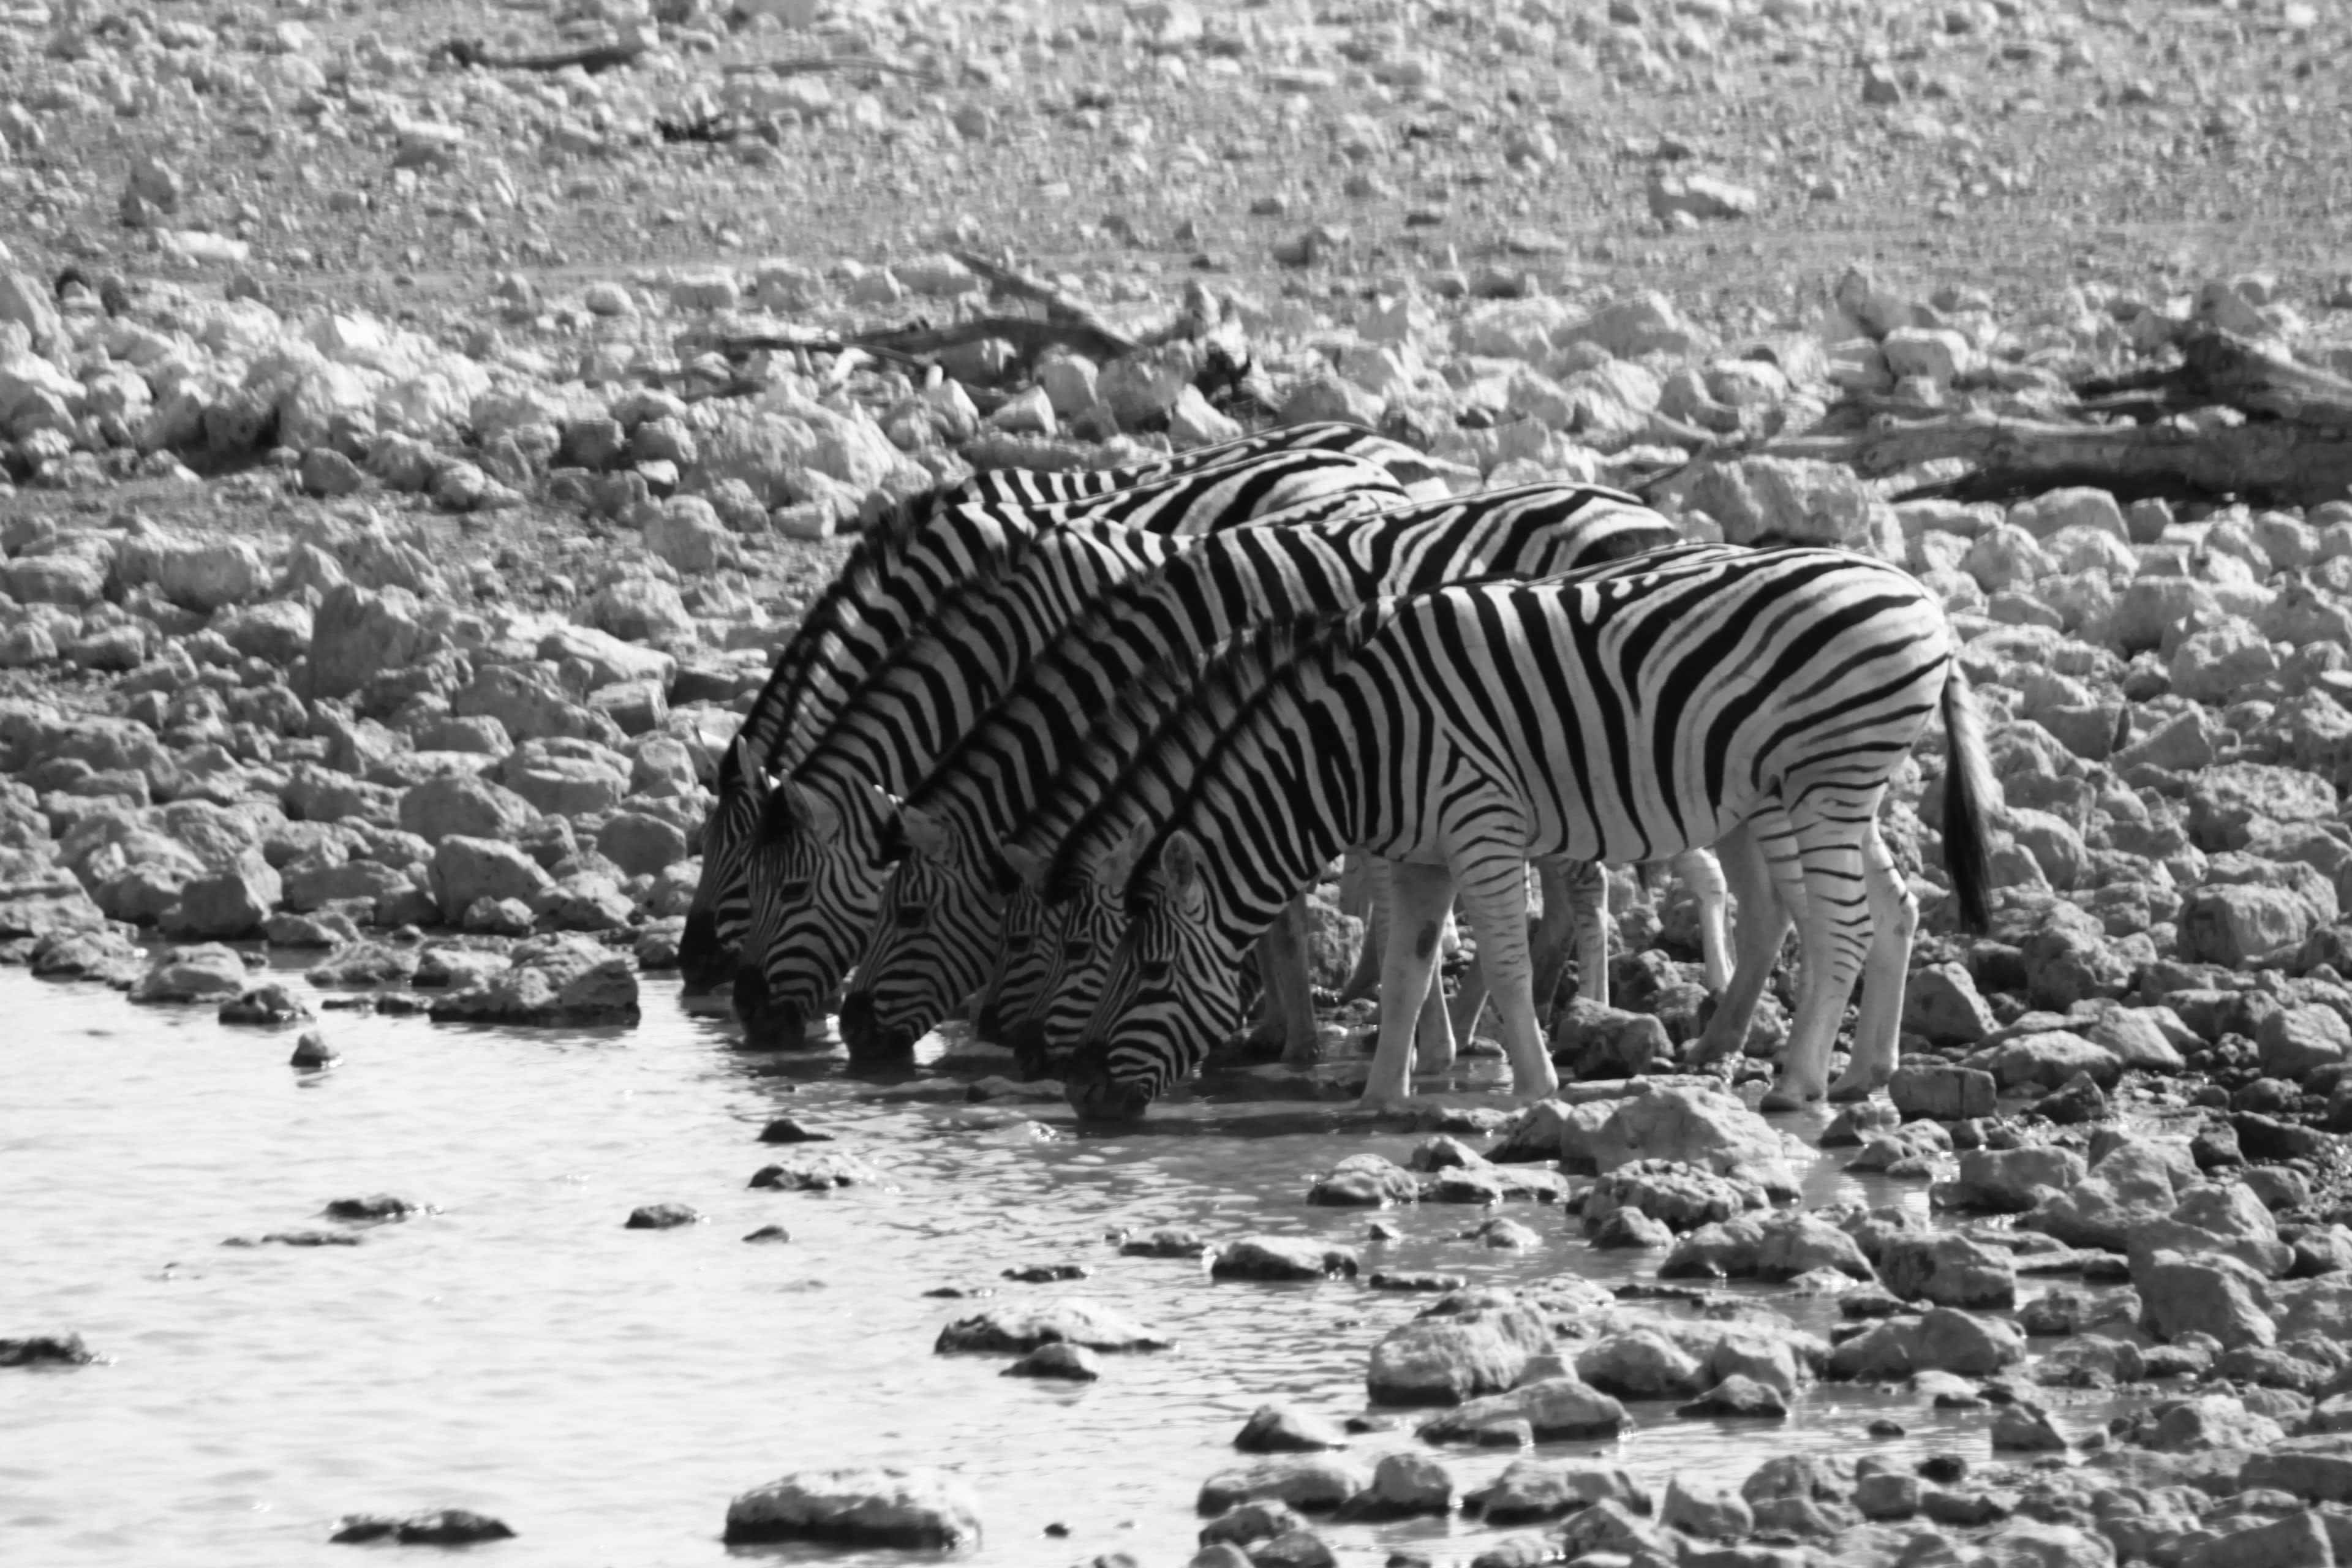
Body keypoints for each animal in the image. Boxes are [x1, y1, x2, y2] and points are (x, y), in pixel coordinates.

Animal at [834, 482, 1708, 1063]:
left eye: (907, 913)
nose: (853, 1029)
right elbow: (1268, 907)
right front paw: (1283, 1029)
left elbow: (1275, 910)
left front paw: (1301, 1038)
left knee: (1586, 891)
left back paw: (1556, 1021)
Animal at [1048, 547, 1996, 1121]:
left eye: (1151, 971)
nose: (1085, 1096)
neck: (1353, 749)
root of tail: (1925, 601)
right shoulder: (1420, 856)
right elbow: (1406, 974)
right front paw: (1380, 1101)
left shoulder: (1480, 824)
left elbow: (1501, 968)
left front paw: (1536, 1088)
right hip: (1833, 790)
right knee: (1897, 907)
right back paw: (1868, 1070)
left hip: (1826, 779)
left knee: (1841, 925)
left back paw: (1800, 1085)